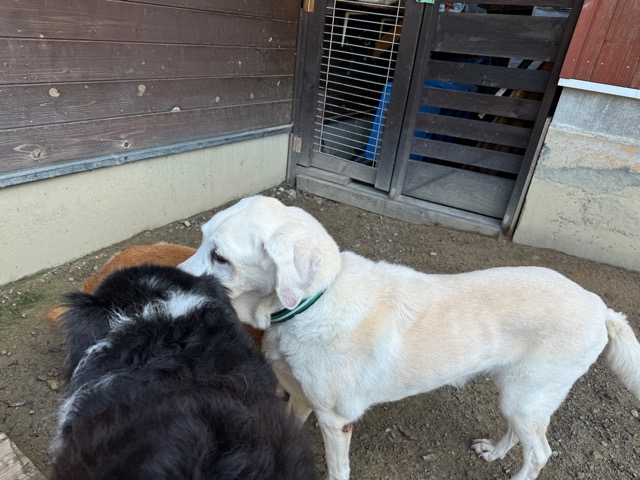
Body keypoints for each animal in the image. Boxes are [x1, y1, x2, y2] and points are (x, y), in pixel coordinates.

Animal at [179, 195, 640, 480]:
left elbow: (337, 469)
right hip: (515, 393)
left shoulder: (335, 420)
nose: (172, 278)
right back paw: (494, 451)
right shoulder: (298, 397)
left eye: (220, 257)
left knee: (541, 453)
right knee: (519, 433)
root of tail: (601, 307)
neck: (312, 302)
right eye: (201, 240)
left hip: (527, 395)